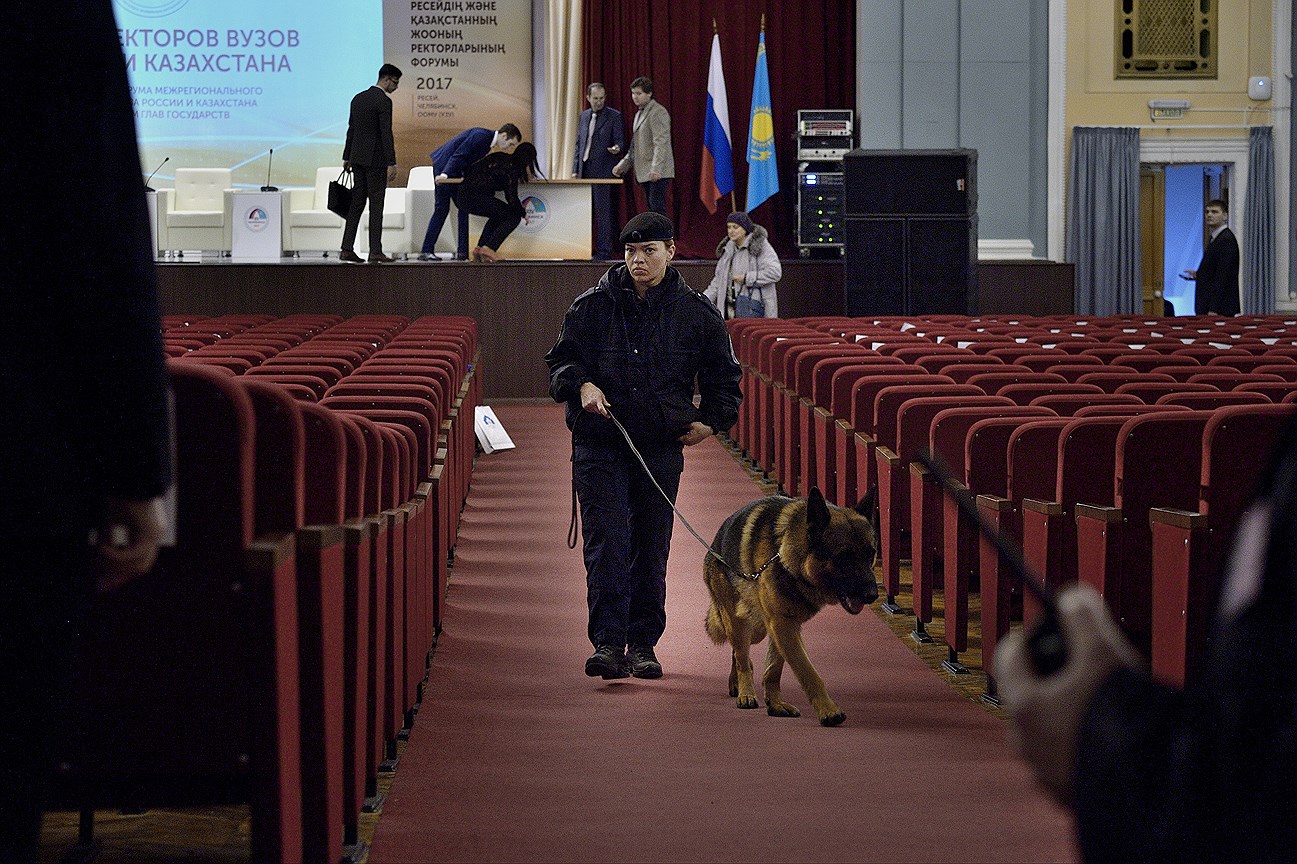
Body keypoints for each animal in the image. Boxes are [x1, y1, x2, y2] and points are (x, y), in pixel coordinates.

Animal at [705, 487, 876, 721]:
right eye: (845, 558)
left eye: (871, 555)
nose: (873, 595)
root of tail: (714, 544)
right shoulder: (782, 625)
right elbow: (807, 671)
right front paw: (828, 710)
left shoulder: (785, 625)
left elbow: (774, 669)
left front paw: (775, 703)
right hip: (737, 623)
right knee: (741, 657)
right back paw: (746, 691)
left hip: (757, 628)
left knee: (740, 653)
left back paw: (737, 684)